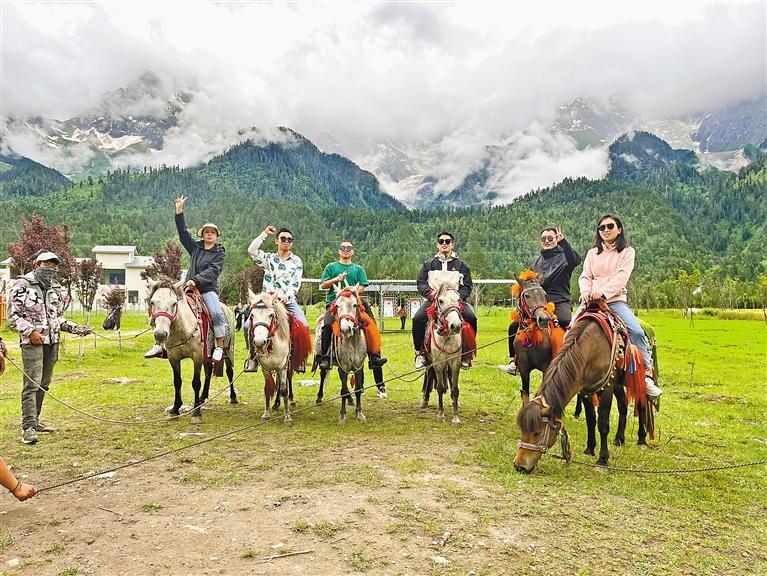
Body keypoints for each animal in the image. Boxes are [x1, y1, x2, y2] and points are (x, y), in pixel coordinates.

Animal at [147, 280, 237, 424]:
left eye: (174, 303)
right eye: (152, 302)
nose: (160, 334)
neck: (182, 329)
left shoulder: (197, 357)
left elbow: (196, 383)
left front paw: (196, 413)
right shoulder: (173, 358)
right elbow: (177, 381)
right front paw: (175, 409)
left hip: (227, 351)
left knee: (229, 372)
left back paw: (233, 397)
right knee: (208, 372)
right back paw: (202, 397)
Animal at [246, 291, 311, 425]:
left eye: (271, 315)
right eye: (252, 315)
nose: (259, 342)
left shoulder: (283, 365)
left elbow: (284, 389)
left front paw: (287, 417)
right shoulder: (265, 367)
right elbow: (268, 388)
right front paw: (266, 414)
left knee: (287, 380)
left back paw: (291, 400)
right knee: (278, 382)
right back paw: (276, 403)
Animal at [313, 285, 368, 425]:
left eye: (355, 305)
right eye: (337, 305)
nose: (345, 329)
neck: (352, 341)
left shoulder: (358, 367)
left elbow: (357, 389)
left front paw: (359, 413)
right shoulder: (344, 366)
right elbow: (342, 390)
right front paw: (342, 416)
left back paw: (350, 399)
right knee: (322, 375)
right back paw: (319, 397)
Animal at [419, 272, 475, 427]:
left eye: (458, 300)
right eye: (441, 301)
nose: (455, 325)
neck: (446, 338)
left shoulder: (455, 362)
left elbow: (454, 389)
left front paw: (456, 418)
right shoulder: (438, 363)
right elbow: (440, 387)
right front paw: (441, 414)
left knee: (448, 378)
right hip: (430, 362)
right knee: (429, 376)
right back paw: (424, 400)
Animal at [514, 300, 651, 472]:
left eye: (537, 433)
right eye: (521, 430)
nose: (519, 466)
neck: (591, 348)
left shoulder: (606, 387)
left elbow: (603, 423)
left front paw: (602, 459)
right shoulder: (585, 389)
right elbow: (591, 419)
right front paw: (590, 448)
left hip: (636, 380)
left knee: (641, 404)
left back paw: (642, 438)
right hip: (619, 384)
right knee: (623, 404)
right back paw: (619, 438)